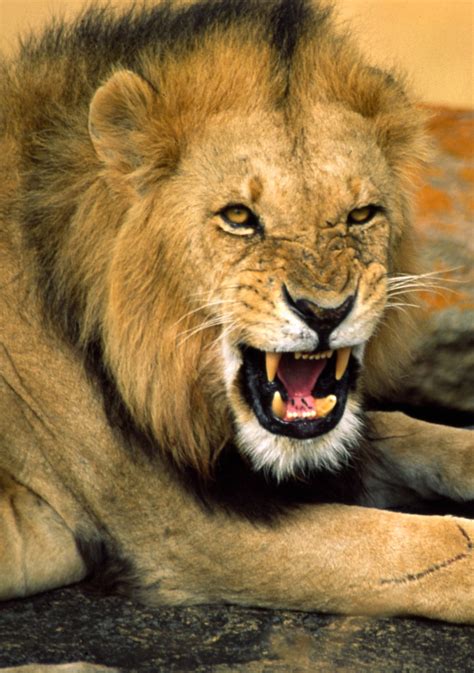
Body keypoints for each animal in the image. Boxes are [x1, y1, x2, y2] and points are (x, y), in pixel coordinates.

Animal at [0, 0, 472, 624]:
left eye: (361, 214)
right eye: (239, 217)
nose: (325, 312)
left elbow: (414, 433)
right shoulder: (182, 530)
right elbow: (433, 549)